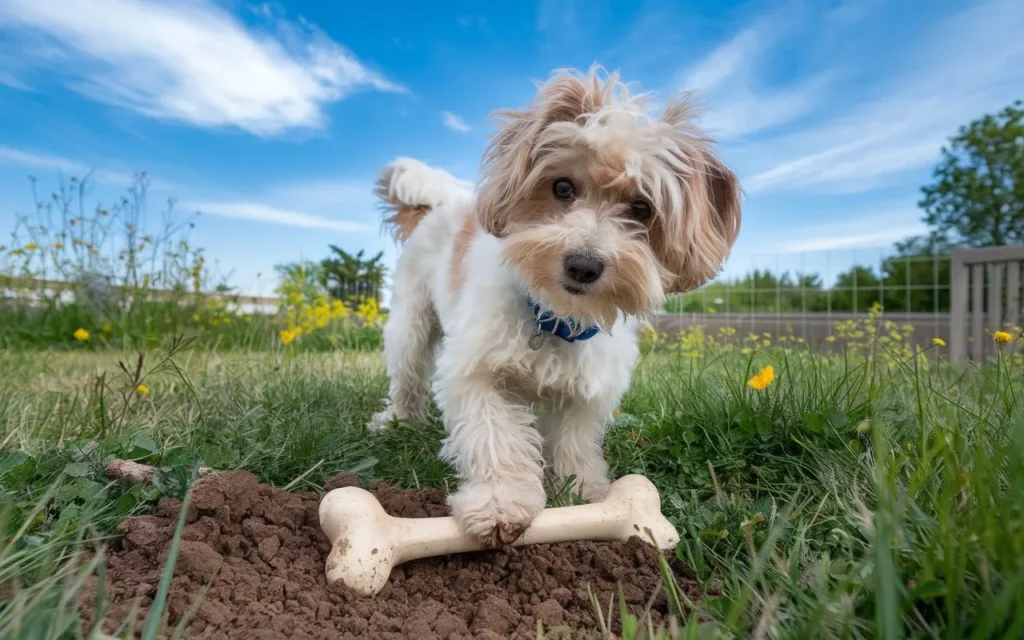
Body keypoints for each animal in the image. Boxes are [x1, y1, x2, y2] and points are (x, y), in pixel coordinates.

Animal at [372, 66, 741, 544]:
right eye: (562, 187)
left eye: (642, 208)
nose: (584, 264)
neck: (554, 318)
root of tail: (437, 205)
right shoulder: (474, 371)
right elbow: (494, 436)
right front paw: (501, 502)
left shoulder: (588, 391)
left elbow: (575, 443)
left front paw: (584, 493)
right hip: (411, 323)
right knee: (408, 374)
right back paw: (396, 420)